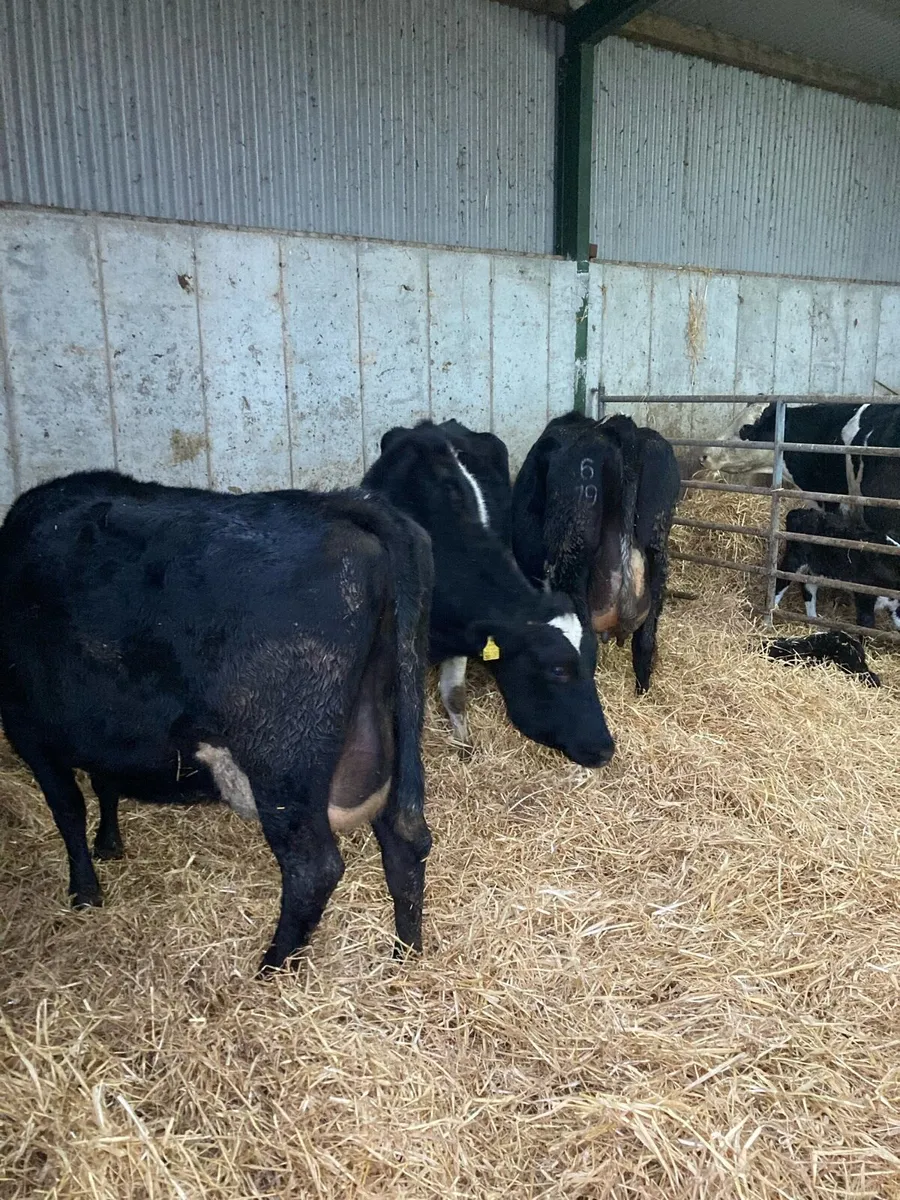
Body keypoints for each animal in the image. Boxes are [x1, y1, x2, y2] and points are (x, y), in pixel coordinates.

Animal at [0, 470, 434, 974]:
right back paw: (404, 956)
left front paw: (85, 891)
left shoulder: (28, 729)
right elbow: (101, 784)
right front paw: (108, 845)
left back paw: (271, 967)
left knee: (313, 867)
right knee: (404, 837)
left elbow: (68, 809)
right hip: (389, 727)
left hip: (282, 760)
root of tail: (336, 505)